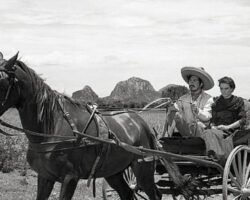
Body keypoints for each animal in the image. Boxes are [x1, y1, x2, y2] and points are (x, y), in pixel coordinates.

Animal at [0, 52, 188, 199]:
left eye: (2, 81)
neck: (52, 128)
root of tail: (142, 123)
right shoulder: (45, 176)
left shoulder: (70, 178)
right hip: (114, 171)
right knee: (127, 193)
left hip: (142, 168)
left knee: (154, 194)